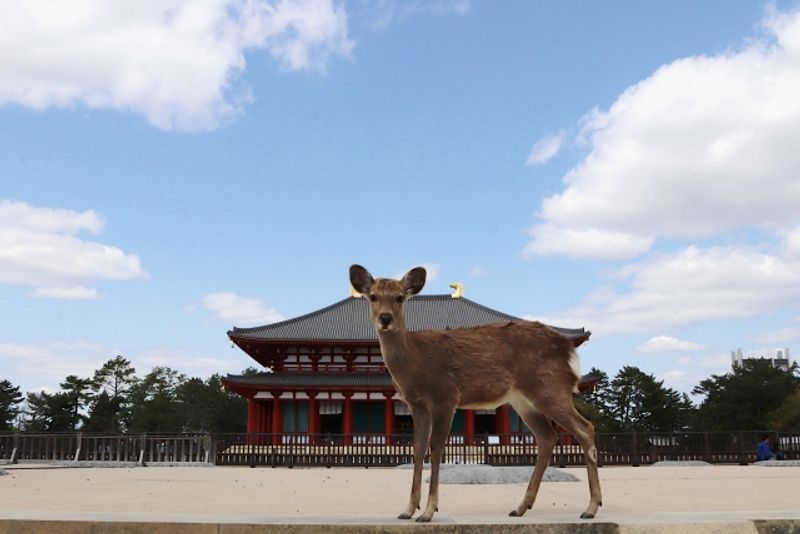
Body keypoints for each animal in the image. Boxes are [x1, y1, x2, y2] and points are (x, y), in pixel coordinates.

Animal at [346, 266, 604, 524]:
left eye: (400, 297)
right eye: (373, 296)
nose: (385, 318)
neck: (415, 362)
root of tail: (569, 350)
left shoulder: (445, 396)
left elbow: (436, 446)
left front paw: (428, 511)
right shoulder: (415, 404)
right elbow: (418, 449)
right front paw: (408, 510)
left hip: (550, 388)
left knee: (585, 427)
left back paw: (591, 507)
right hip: (524, 400)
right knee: (547, 437)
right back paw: (520, 507)